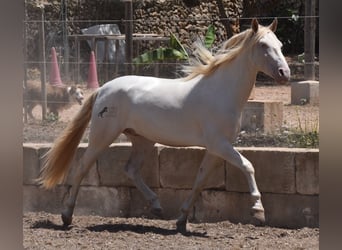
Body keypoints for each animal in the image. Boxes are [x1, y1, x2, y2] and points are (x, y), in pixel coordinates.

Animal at [37, 19, 290, 232]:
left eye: (280, 45)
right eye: (264, 46)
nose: (284, 73)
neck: (222, 92)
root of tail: (103, 89)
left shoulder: (216, 149)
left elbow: (200, 181)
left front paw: (181, 220)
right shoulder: (220, 144)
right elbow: (248, 166)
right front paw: (258, 211)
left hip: (143, 140)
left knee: (130, 169)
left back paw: (157, 206)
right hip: (103, 136)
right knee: (81, 168)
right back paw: (66, 216)